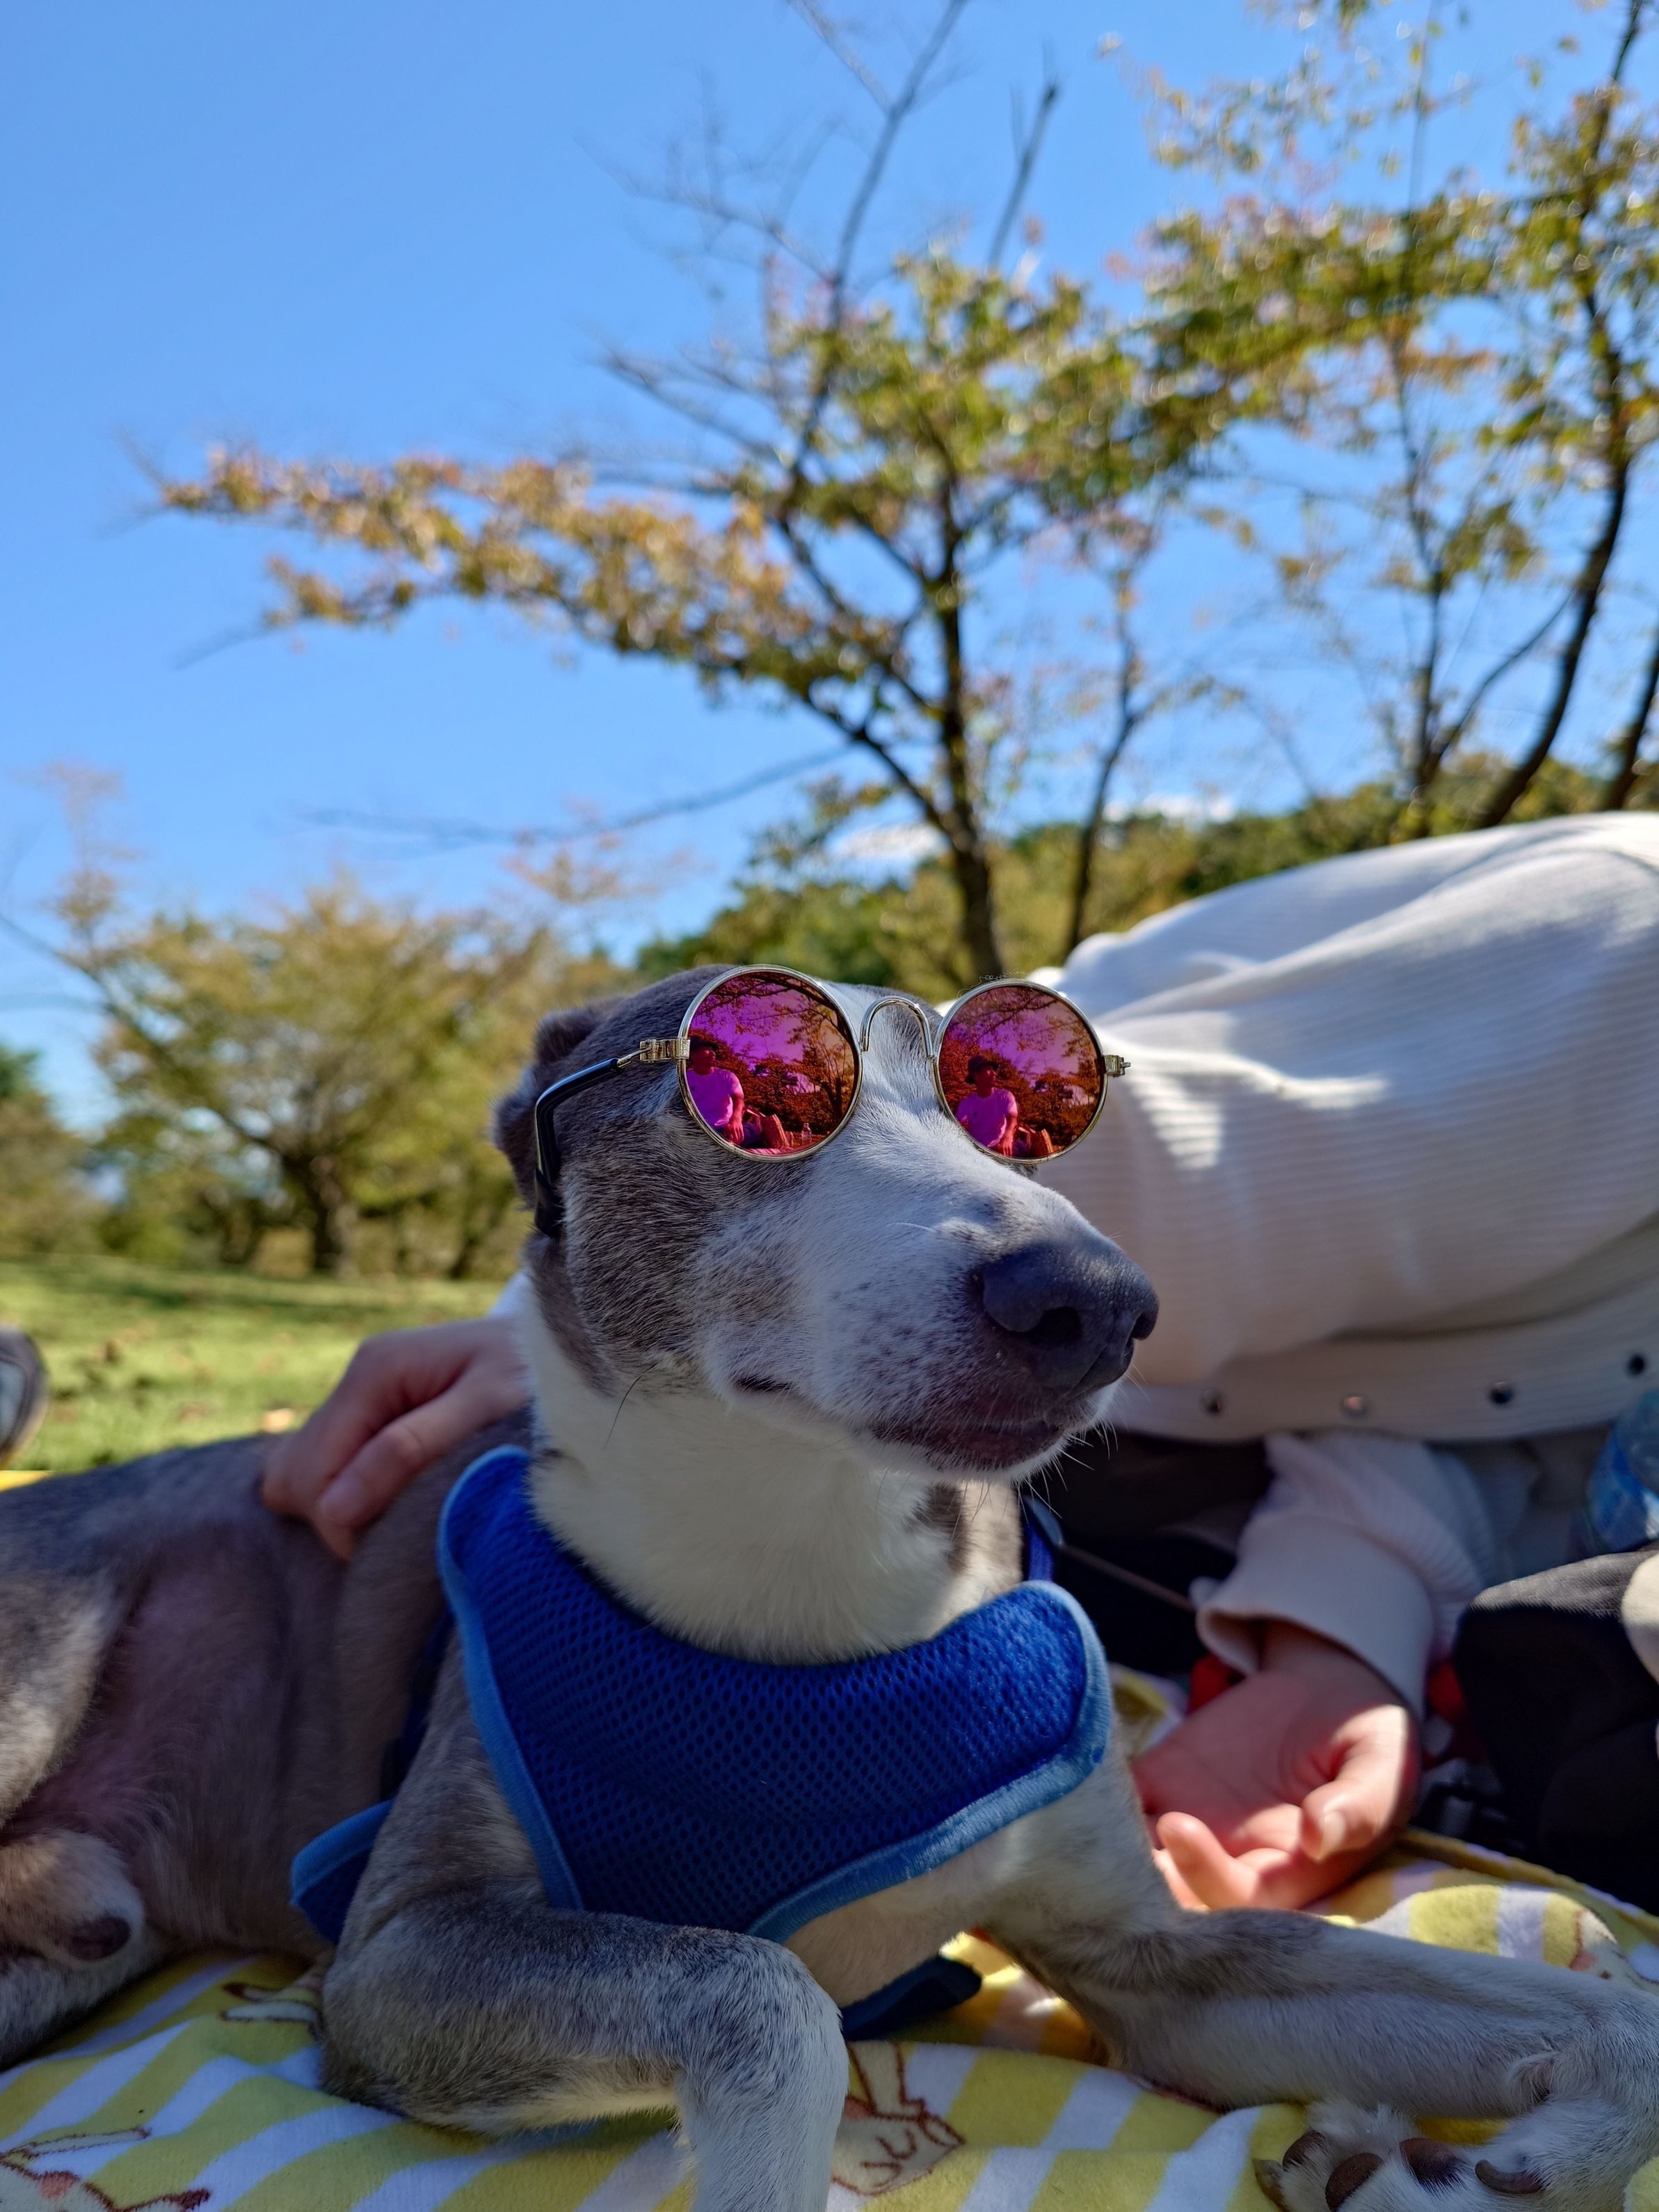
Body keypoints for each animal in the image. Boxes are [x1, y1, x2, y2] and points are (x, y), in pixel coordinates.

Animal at [3, 968, 1658, 2212]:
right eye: (751, 1092)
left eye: (1024, 1109)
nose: (1100, 1304)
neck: (801, 1583)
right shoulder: (400, 1959)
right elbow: (765, 1993)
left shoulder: (1155, 1970)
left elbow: (1609, 2010)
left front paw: (1507, 2156)